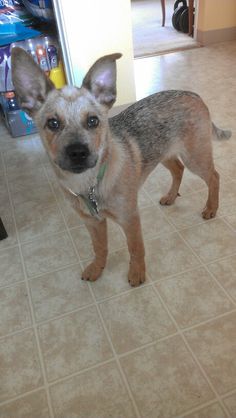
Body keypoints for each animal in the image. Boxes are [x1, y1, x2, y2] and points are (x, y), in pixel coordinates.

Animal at [11, 47, 230, 286]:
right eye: (53, 123)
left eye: (93, 121)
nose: (78, 153)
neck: (89, 183)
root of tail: (193, 94)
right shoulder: (92, 222)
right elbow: (99, 248)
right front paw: (97, 268)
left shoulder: (129, 218)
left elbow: (135, 247)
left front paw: (137, 273)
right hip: (163, 152)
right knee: (178, 170)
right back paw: (171, 196)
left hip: (195, 156)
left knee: (214, 176)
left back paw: (211, 208)